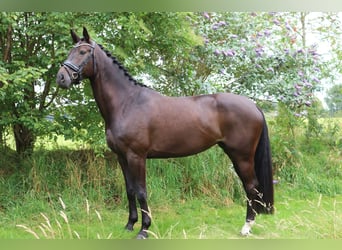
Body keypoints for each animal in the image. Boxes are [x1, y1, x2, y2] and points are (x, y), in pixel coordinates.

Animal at [56, 27, 276, 238]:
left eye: (83, 52)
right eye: (69, 51)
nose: (61, 77)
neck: (127, 103)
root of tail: (253, 105)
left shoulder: (137, 156)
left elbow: (141, 192)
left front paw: (144, 230)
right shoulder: (121, 157)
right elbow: (129, 190)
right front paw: (130, 225)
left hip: (242, 155)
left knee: (251, 186)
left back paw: (246, 227)